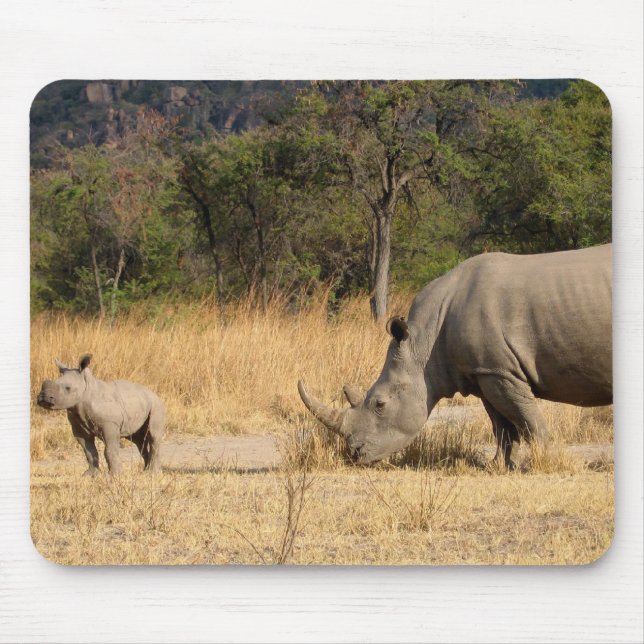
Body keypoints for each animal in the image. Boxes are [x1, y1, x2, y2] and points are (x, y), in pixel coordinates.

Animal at [37, 354, 165, 475]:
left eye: (68, 388)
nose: (43, 397)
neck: (86, 390)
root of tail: (154, 393)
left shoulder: (109, 424)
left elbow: (109, 450)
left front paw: (114, 475)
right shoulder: (78, 426)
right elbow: (89, 451)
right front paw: (90, 475)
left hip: (156, 405)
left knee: (153, 436)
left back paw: (152, 473)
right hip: (140, 403)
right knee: (138, 440)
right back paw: (145, 470)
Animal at [298, 244, 612, 468]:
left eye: (380, 404)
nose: (355, 453)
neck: (422, 344)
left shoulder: (500, 371)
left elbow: (526, 417)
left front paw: (545, 461)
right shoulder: (486, 371)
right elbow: (501, 425)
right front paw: (498, 467)